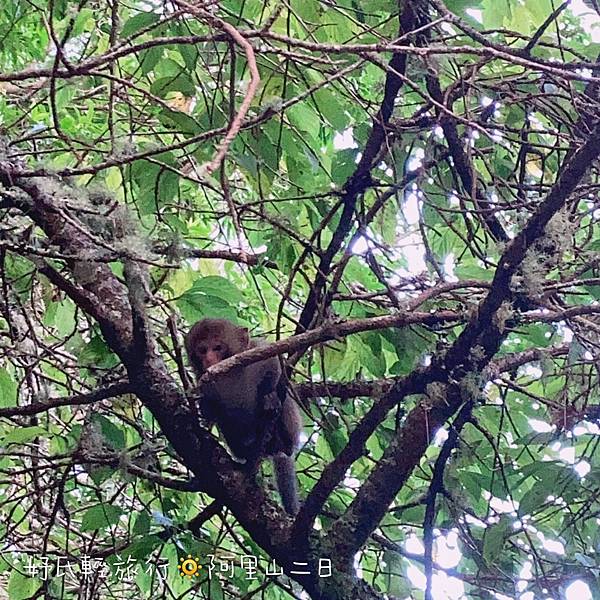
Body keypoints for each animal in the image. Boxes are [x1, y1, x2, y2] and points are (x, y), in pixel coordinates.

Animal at [185, 318, 302, 516]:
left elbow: (275, 367)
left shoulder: (254, 353)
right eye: (202, 350)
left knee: (284, 402)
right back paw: (246, 453)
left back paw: (280, 436)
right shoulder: (203, 379)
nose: (209, 360)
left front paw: (270, 396)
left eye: (217, 347)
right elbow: (213, 408)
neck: (230, 374)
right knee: (227, 422)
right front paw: (206, 411)